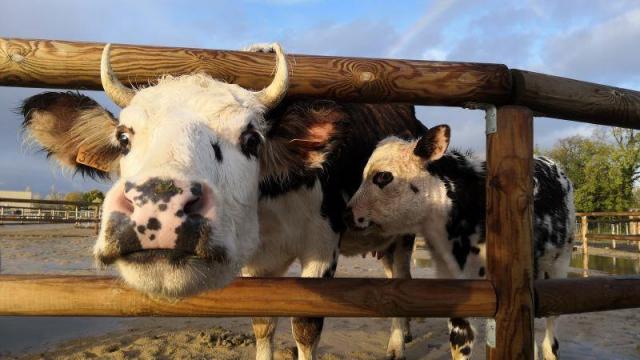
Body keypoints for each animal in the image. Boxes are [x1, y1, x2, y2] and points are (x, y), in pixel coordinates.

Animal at [21, 43, 424, 360]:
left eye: (251, 139)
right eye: (123, 137)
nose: (158, 207)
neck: (268, 212)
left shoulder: (322, 247)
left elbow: (306, 327)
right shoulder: (257, 263)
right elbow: (263, 323)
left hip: (406, 234)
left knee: (403, 280)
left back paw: (397, 343)